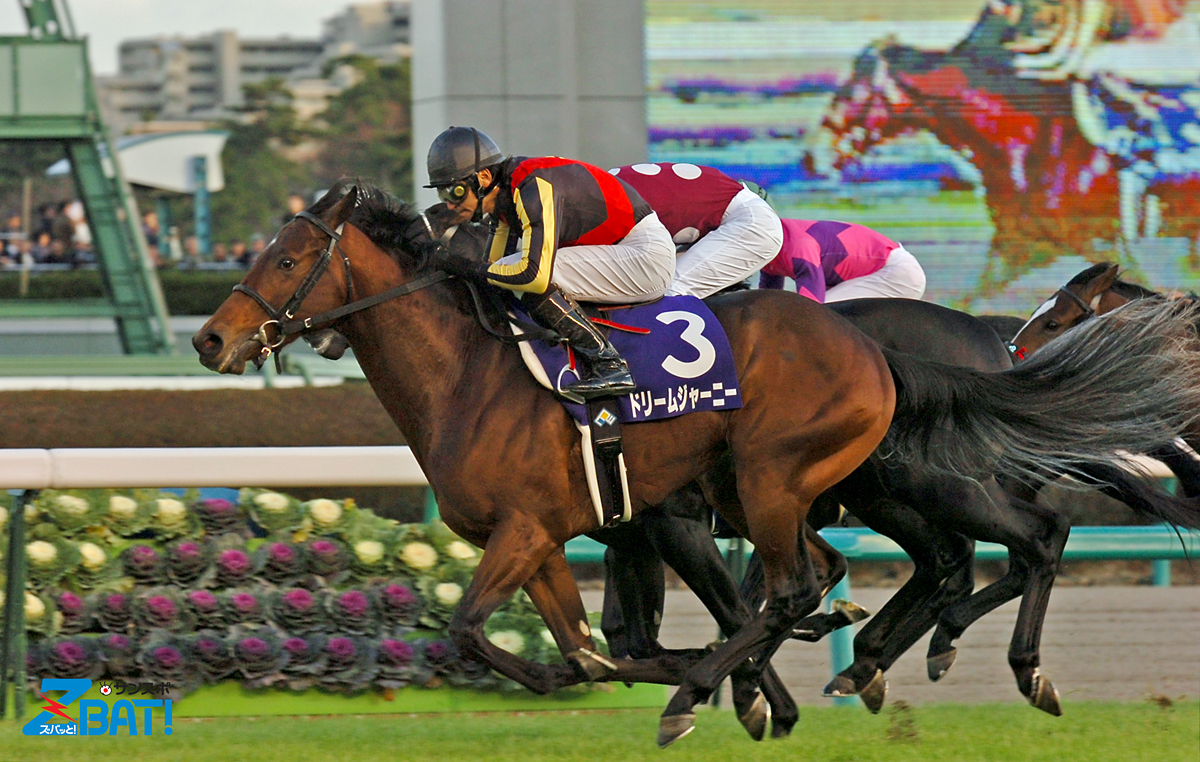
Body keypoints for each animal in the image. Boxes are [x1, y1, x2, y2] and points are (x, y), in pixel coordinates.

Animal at [193, 184, 1200, 746]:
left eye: (288, 255)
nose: (209, 339)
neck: (473, 375)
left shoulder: (586, 525)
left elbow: (491, 633)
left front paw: (741, 693)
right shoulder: (563, 537)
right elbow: (595, 646)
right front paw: (728, 685)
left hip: (820, 478)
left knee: (1016, 540)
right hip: (840, 490)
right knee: (938, 562)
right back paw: (868, 660)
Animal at [821, 2, 1200, 304]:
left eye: (857, 88)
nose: (819, 151)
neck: (1034, 146)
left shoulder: (1101, 239)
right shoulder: (1019, 246)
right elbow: (970, 300)